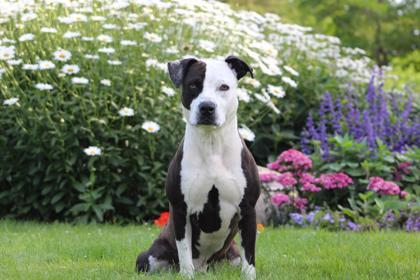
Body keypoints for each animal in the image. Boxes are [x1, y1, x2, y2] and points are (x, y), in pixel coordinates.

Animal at [135, 55, 260, 278]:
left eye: (224, 87)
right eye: (194, 85)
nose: (207, 107)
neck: (212, 145)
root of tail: (205, 267)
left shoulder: (248, 209)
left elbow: (249, 256)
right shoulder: (180, 210)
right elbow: (184, 252)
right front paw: (187, 275)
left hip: (232, 256)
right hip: (147, 258)